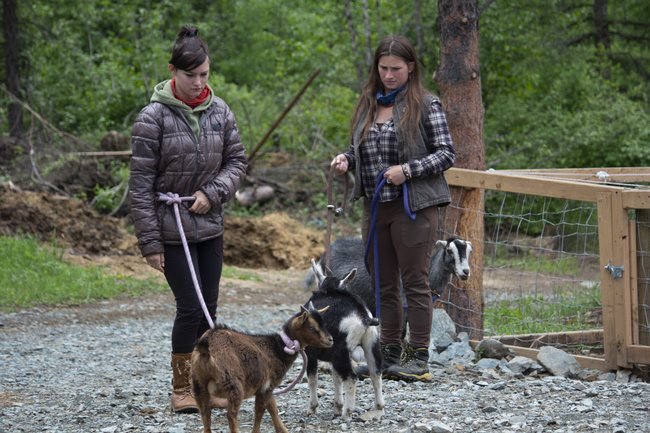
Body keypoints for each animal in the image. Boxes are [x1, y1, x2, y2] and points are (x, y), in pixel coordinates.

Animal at [190, 304, 332, 432]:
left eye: (323, 324)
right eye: (311, 327)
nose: (330, 340)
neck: (277, 348)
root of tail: (206, 349)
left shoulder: (268, 387)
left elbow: (273, 408)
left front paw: (283, 430)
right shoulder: (266, 386)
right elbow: (260, 411)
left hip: (198, 384)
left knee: (205, 413)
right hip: (233, 384)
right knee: (231, 414)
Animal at [304, 258, 384, 416]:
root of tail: (363, 317)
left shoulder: (310, 353)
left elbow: (312, 378)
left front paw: (312, 408)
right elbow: (336, 378)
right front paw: (337, 406)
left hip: (341, 352)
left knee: (351, 378)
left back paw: (347, 412)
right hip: (370, 344)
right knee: (375, 373)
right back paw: (379, 407)